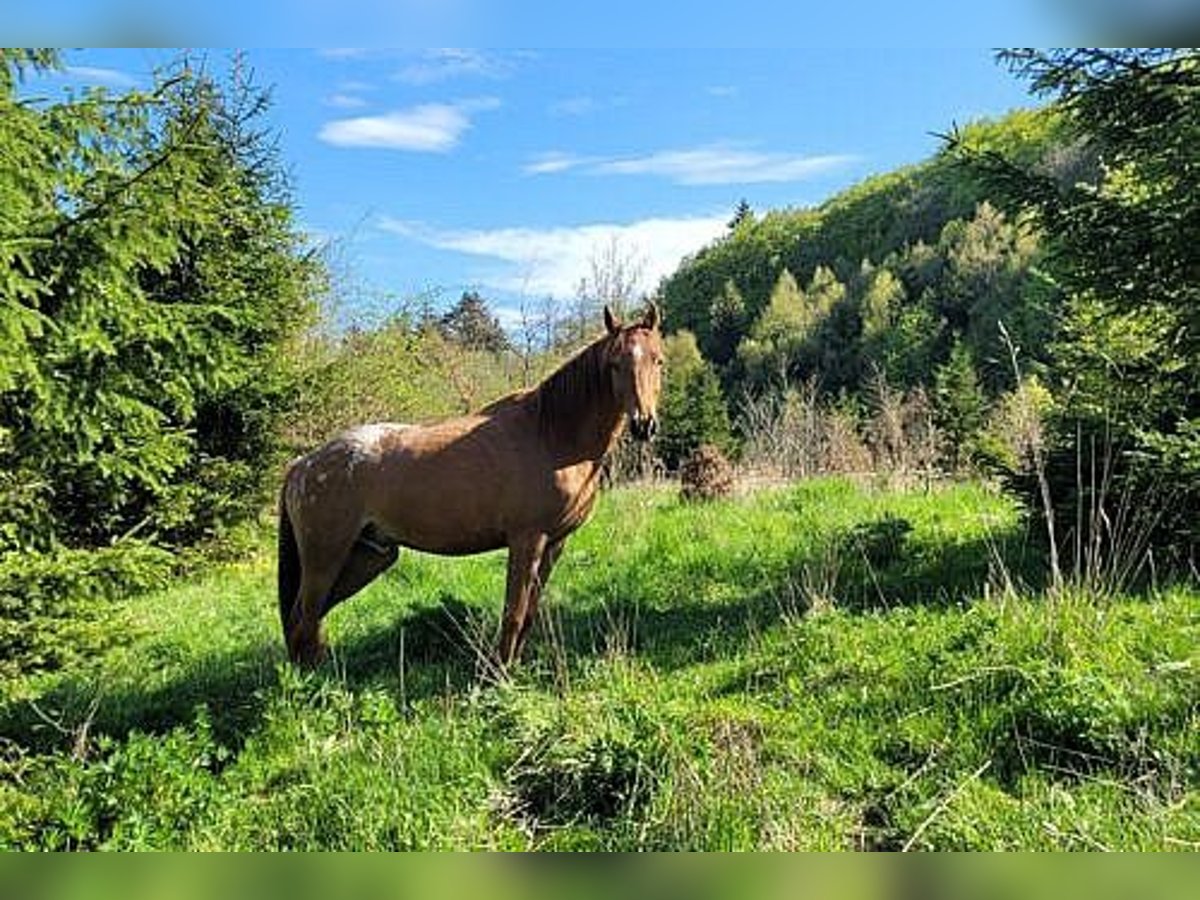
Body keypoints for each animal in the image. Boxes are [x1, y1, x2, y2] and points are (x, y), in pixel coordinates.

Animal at [276, 303, 667, 672]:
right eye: (614, 364)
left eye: (658, 360)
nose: (643, 424)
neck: (552, 436)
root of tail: (302, 465)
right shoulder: (526, 540)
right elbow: (513, 613)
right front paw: (500, 674)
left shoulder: (555, 544)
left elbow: (529, 613)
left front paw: (514, 666)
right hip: (326, 557)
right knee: (303, 617)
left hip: (369, 556)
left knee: (309, 618)